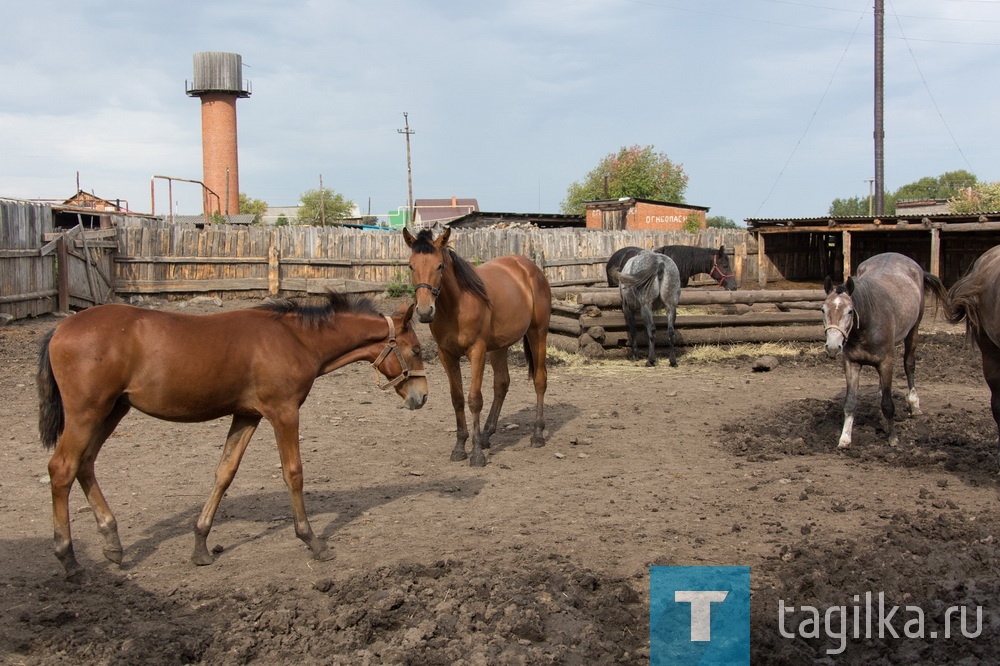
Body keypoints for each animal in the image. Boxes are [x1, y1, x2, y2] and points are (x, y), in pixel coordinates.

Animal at [34, 294, 426, 580]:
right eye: (417, 350)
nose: (421, 397)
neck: (296, 339)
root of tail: (59, 329)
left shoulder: (247, 415)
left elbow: (225, 472)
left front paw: (200, 546)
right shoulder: (283, 412)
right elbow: (293, 473)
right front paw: (313, 541)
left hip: (112, 410)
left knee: (85, 463)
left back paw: (112, 543)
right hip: (88, 413)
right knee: (62, 468)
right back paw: (67, 558)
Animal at [402, 228, 552, 466]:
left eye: (439, 265)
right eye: (411, 266)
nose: (425, 311)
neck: (456, 304)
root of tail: (531, 268)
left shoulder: (477, 352)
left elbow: (474, 399)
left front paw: (477, 455)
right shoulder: (447, 354)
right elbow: (457, 399)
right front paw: (460, 447)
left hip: (538, 334)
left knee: (539, 380)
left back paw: (537, 434)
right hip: (500, 346)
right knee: (501, 384)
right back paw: (486, 434)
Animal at [820, 252, 944, 448]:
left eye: (849, 311)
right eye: (823, 309)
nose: (832, 347)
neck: (868, 323)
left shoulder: (886, 363)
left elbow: (888, 404)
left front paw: (893, 438)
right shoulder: (851, 363)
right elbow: (850, 403)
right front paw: (845, 439)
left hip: (914, 330)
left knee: (909, 364)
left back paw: (914, 404)